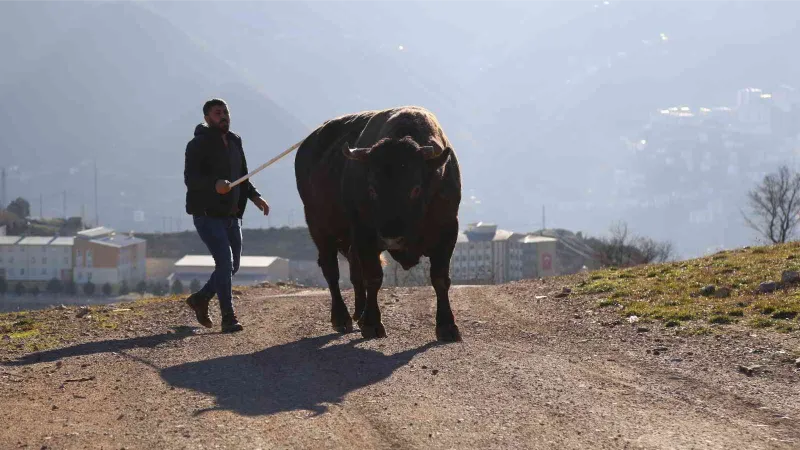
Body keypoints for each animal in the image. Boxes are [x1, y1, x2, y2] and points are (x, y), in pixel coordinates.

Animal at [294, 107, 462, 342]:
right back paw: (342, 318)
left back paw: (358, 313)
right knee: (331, 271)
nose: (392, 237)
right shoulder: (364, 234)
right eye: (372, 189)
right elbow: (373, 277)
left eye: (416, 188)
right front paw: (372, 324)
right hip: (319, 228)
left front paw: (447, 326)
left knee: (354, 272)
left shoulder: (448, 230)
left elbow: (440, 279)